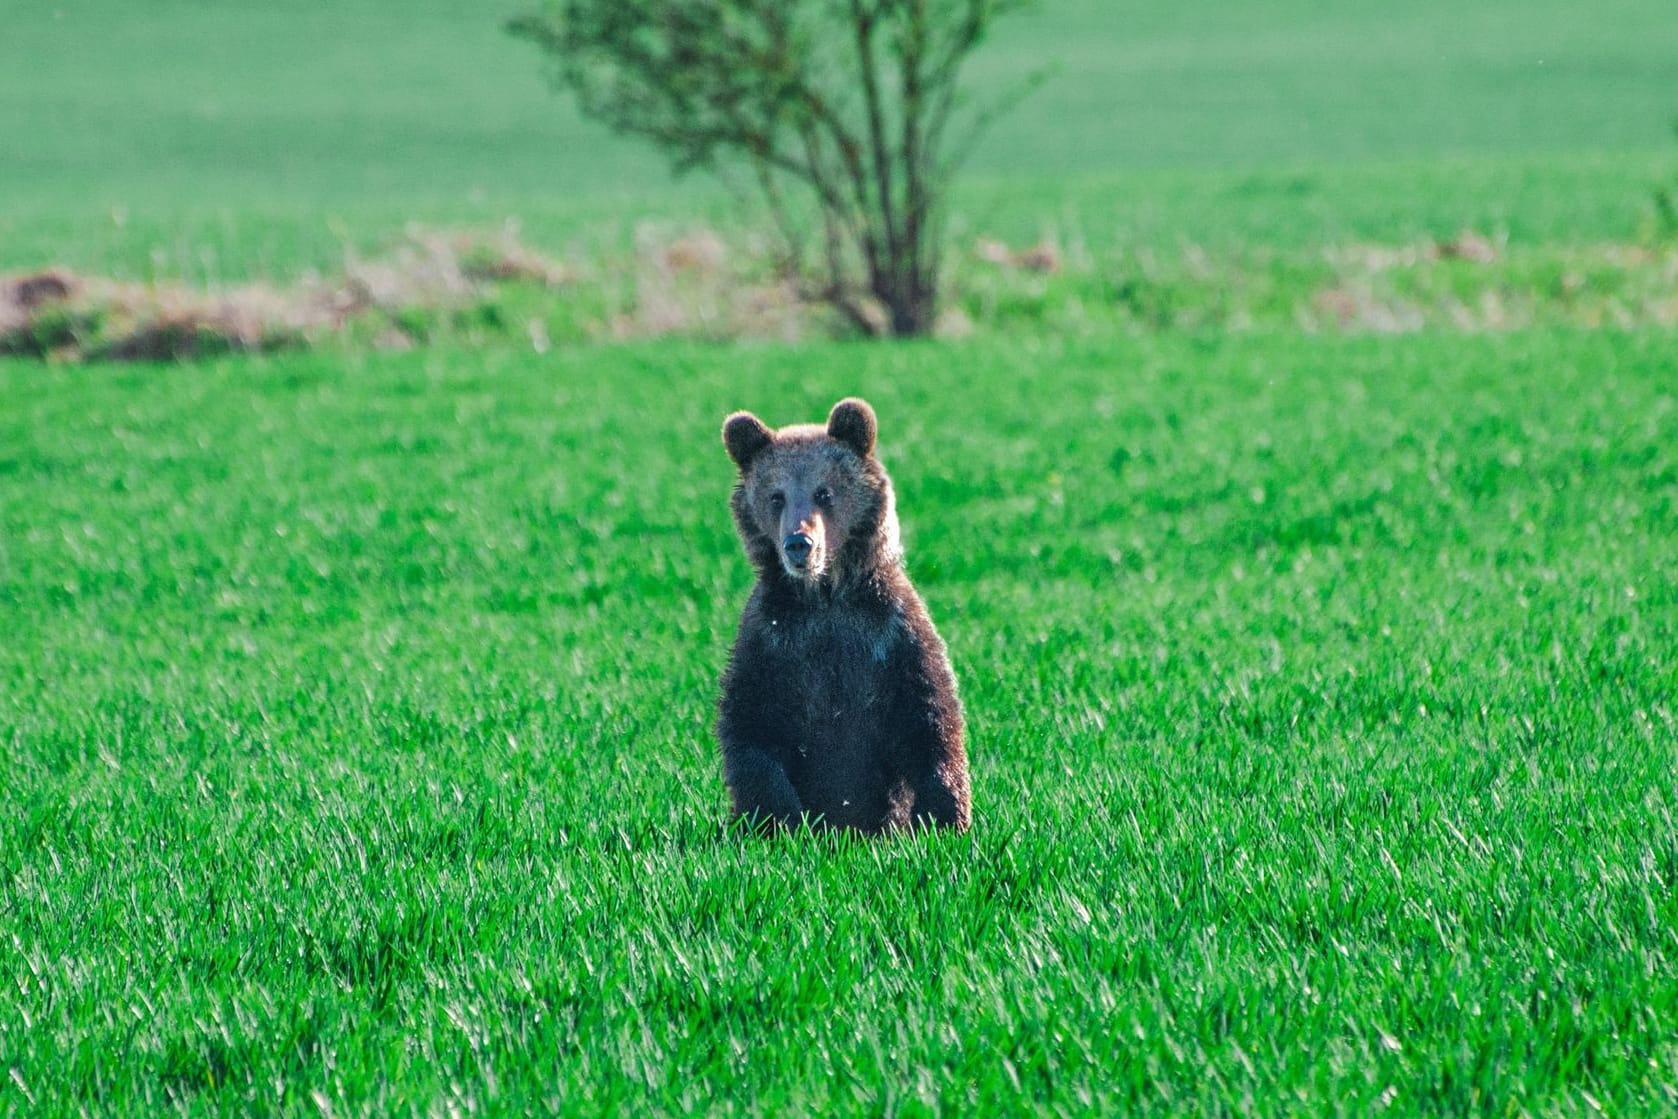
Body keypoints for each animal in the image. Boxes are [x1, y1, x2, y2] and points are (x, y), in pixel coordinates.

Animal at [711, 400, 973, 832]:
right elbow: (751, 725)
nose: (799, 544)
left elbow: (930, 716)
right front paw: (780, 820)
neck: (825, 596)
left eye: (824, 492)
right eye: (776, 496)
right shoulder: (772, 639)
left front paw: (944, 819)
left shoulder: (891, 633)